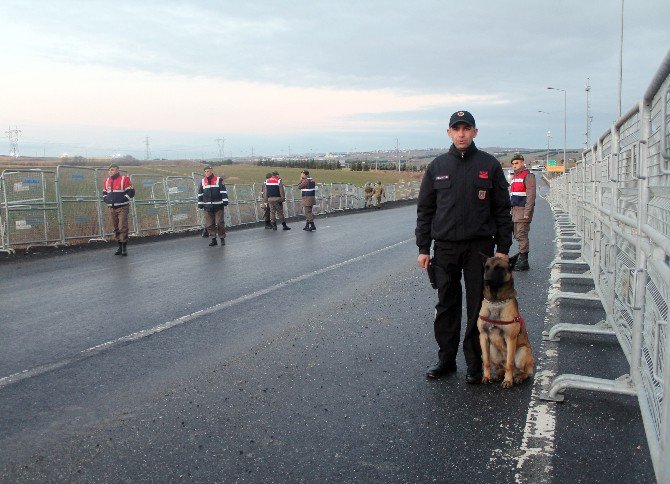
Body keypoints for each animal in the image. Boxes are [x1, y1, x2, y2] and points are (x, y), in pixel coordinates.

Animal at [478, 255, 536, 388]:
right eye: (486, 267)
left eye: (499, 268)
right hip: (493, 351)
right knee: (500, 367)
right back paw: (498, 375)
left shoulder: (510, 338)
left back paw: (517, 378)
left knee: (523, 372)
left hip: (522, 353)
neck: (495, 302)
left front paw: (508, 381)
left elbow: (509, 363)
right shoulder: (483, 337)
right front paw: (486, 377)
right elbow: (486, 361)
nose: (486, 280)